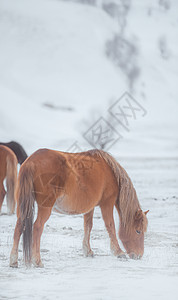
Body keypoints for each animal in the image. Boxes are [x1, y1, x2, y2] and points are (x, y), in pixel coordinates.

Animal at [10, 149, 149, 268]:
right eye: (138, 231)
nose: (139, 255)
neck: (109, 171)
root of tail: (30, 162)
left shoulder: (90, 208)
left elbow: (88, 226)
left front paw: (88, 251)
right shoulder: (107, 204)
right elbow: (111, 227)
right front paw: (119, 252)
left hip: (22, 207)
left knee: (19, 227)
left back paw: (13, 261)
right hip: (45, 207)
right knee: (37, 227)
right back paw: (37, 261)